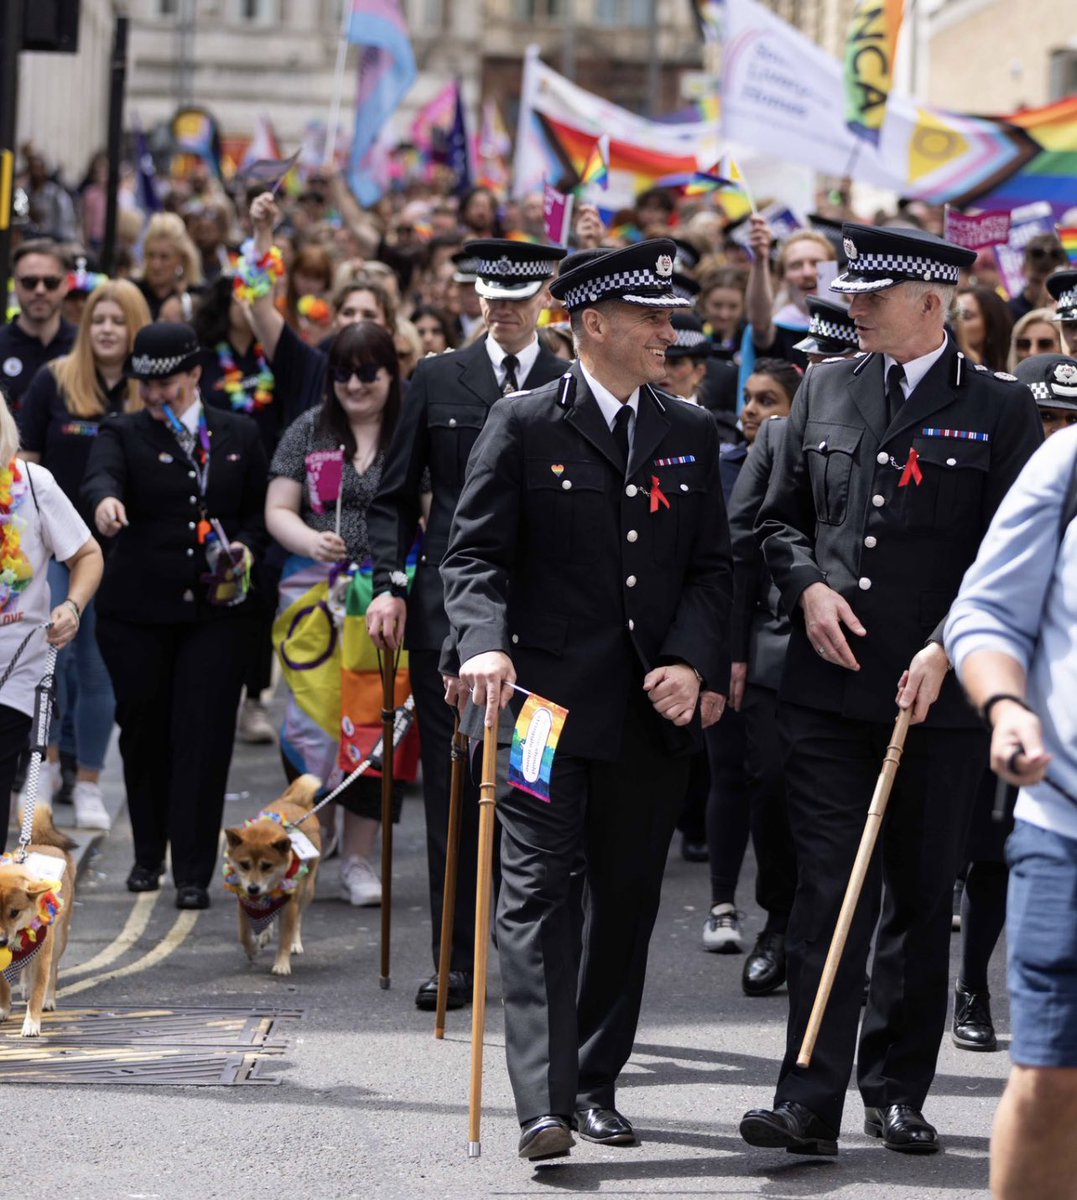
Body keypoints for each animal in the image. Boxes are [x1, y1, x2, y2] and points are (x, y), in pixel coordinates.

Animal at [0, 806, 76, 1041]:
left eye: (14, 912)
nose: (1, 940)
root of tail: (46, 844)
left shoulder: (43, 956)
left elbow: (38, 990)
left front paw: (32, 1023)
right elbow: (4, 984)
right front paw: (4, 1009)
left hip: (59, 940)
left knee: (53, 971)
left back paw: (49, 1000)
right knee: (25, 968)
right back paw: (24, 986)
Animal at [220, 772, 316, 979]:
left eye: (267, 866)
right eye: (244, 864)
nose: (253, 888)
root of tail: (295, 802)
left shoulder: (289, 906)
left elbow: (285, 937)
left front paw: (281, 964)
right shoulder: (243, 903)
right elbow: (243, 934)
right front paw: (251, 950)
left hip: (307, 890)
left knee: (298, 918)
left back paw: (295, 942)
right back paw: (264, 934)